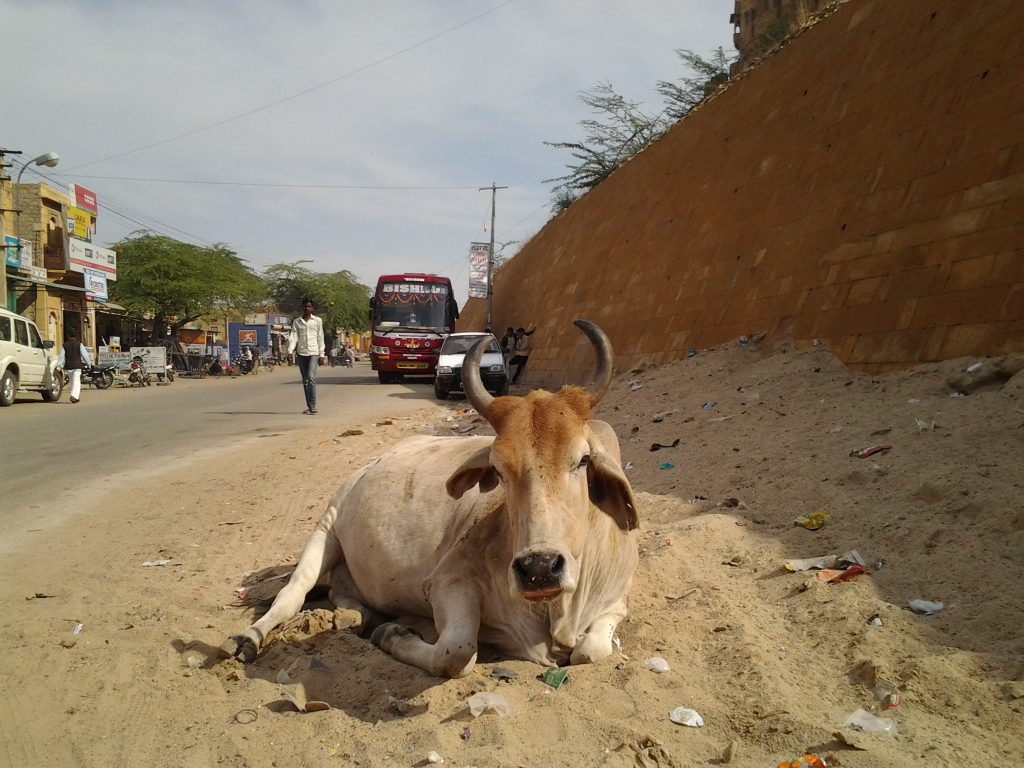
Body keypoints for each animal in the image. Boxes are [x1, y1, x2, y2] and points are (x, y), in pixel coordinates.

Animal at [222, 321, 638, 675]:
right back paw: (248, 639)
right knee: (291, 594)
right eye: (499, 470)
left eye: (582, 460)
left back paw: (359, 617)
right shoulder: (447, 581)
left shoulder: (615, 603)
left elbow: (591, 650)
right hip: (326, 526)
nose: (539, 568)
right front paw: (394, 635)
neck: (555, 612)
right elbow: (457, 653)